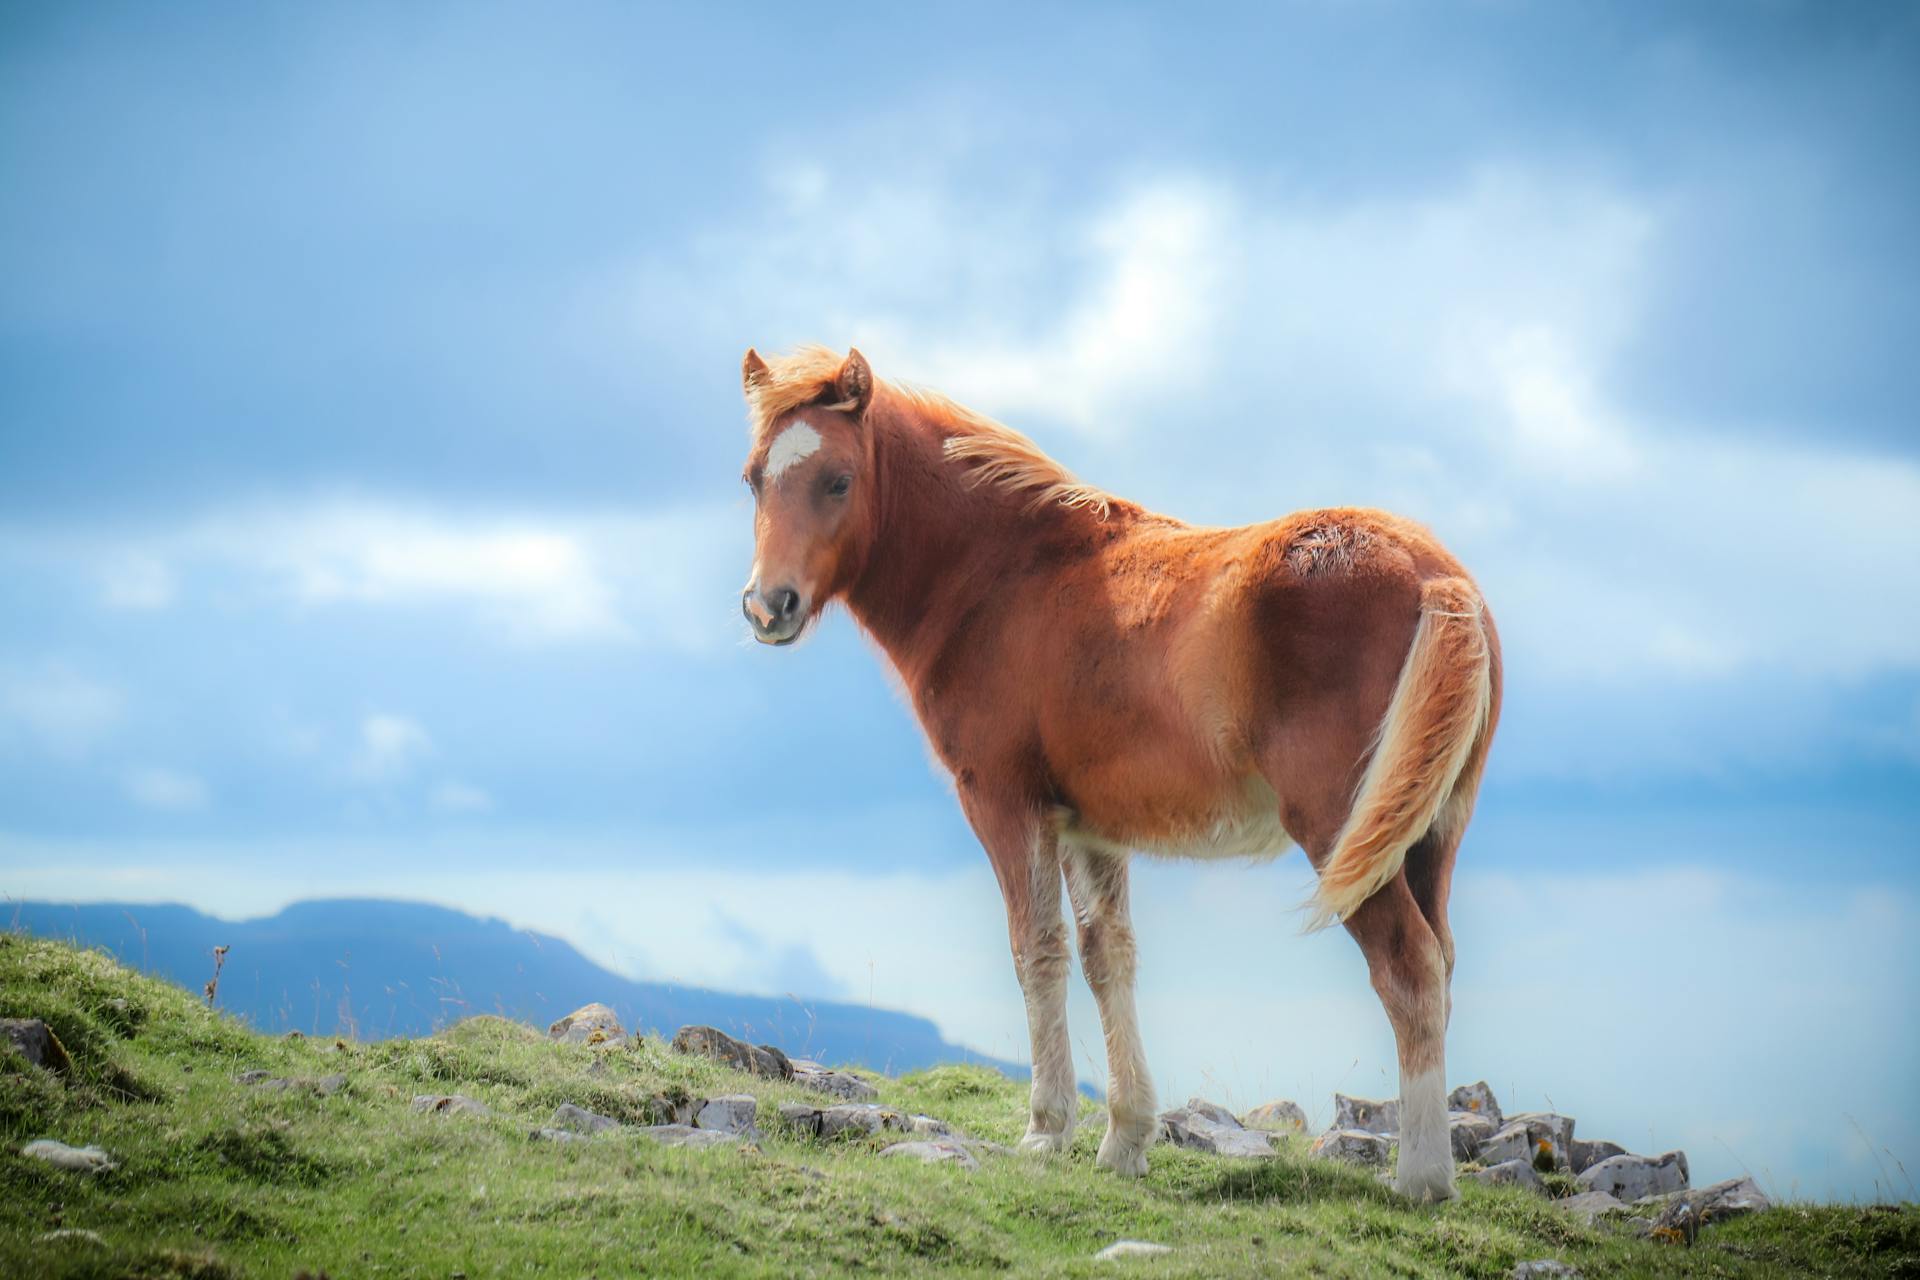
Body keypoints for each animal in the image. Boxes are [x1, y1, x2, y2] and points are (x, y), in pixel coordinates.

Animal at [733, 343, 1497, 1205]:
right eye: (754, 477)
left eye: (838, 480)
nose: (767, 606)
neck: (1005, 578)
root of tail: (1435, 577)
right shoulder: (1089, 826)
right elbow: (1109, 956)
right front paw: (1125, 1138)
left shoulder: (1005, 802)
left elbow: (1036, 949)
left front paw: (1045, 1130)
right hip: (1427, 835)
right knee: (1440, 960)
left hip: (1341, 831)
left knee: (1407, 968)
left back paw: (1423, 1179)